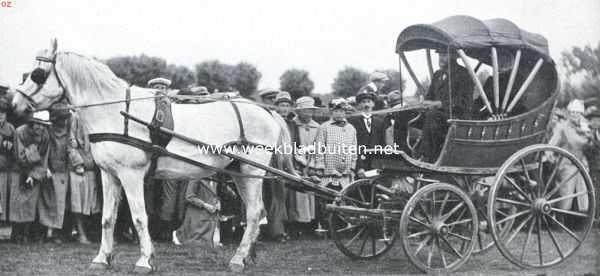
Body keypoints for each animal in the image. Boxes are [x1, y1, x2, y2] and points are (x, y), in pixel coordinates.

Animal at [12, 39, 296, 274]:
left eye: (38, 74)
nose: (14, 106)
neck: (117, 112)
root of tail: (266, 111)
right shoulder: (109, 174)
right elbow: (107, 218)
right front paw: (102, 259)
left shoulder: (131, 174)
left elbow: (139, 217)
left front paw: (145, 261)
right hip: (239, 171)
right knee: (255, 212)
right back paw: (246, 256)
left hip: (252, 172)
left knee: (255, 213)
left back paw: (238, 259)